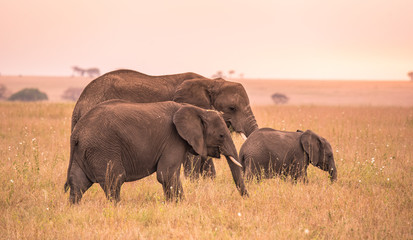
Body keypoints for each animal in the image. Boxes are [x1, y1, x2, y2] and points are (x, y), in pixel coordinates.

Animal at [62, 100, 246, 203]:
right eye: (221, 135)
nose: (247, 198)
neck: (196, 109)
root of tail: (76, 133)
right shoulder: (173, 140)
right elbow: (166, 174)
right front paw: (180, 205)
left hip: (85, 150)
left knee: (78, 183)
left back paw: (74, 208)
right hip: (103, 148)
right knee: (114, 180)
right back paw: (117, 207)